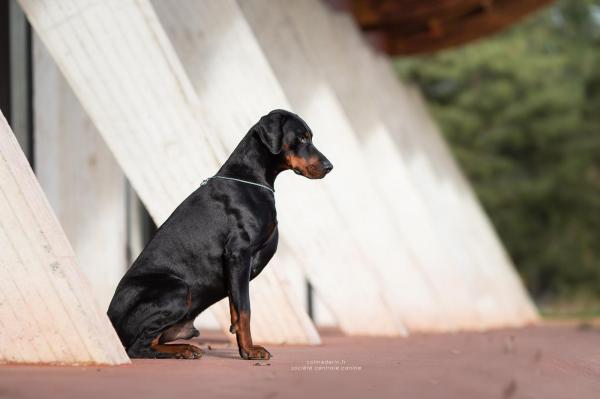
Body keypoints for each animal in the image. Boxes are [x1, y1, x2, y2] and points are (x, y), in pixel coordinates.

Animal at [108, 110, 332, 362]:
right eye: (301, 138)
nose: (329, 166)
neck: (250, 179)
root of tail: (109, 318)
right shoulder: (238, 254)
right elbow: (245, 309)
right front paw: (251, 351)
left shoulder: (235, 269)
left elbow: (236, 310)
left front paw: (243, 349)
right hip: (177, 288)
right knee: (137, 348)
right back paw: (182, 350)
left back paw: (184, 348)